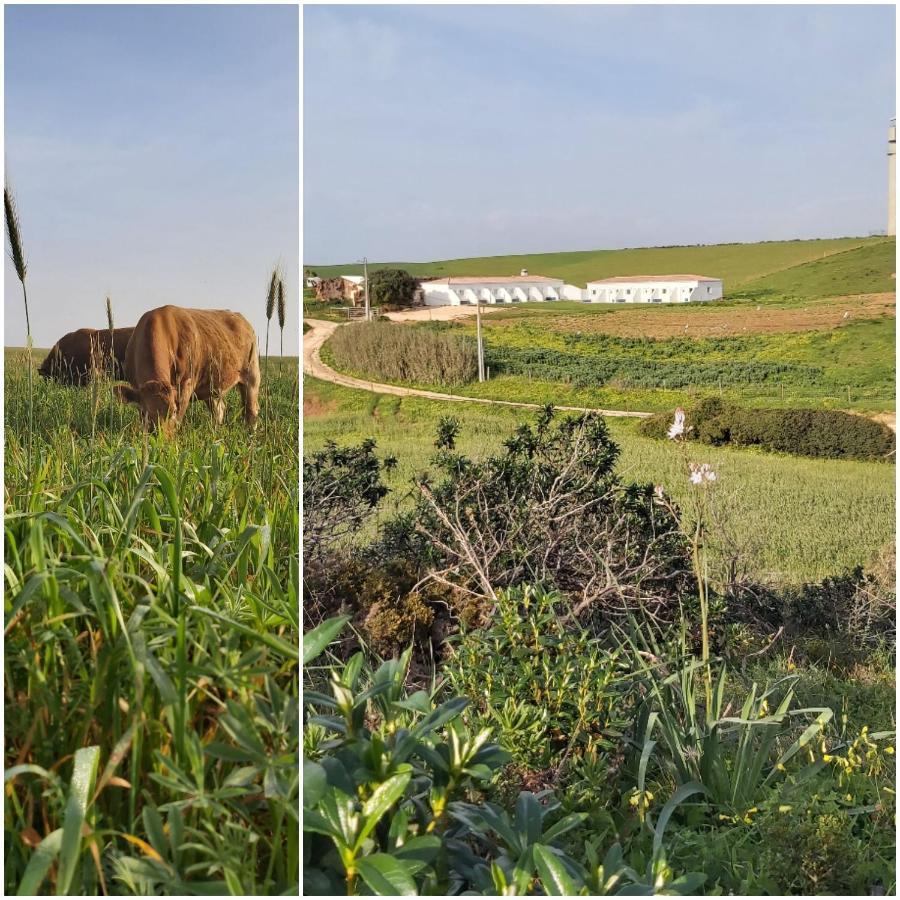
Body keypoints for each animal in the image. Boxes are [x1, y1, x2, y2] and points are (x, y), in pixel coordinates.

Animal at [112, 306, 260, 432]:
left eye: (173, 411)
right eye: (144, 413)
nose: (160, 438)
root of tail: (240, 318)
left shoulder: (185, 386)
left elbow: (178, 420)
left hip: (252, 375)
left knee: (251, 410)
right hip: (211, 386)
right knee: (219, 410)